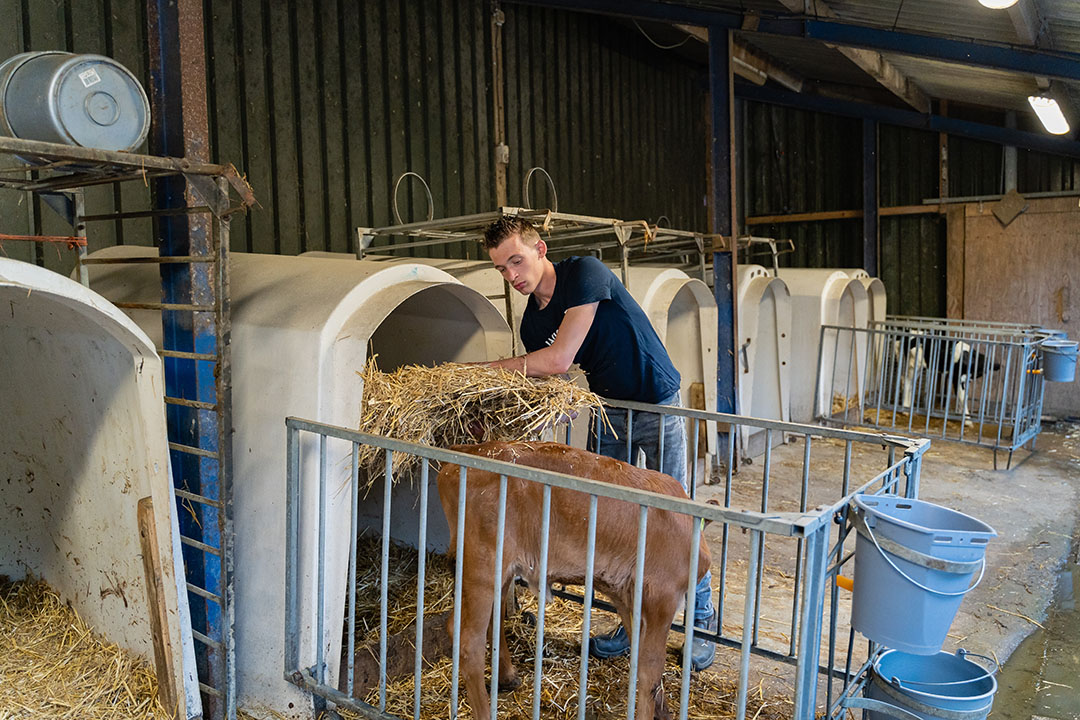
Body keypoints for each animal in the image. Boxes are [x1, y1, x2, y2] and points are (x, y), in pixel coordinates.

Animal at [434, 440, 712, 720]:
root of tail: (465, 454)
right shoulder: (661, 597)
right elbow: (650, 671)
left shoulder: (630, 598)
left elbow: (638, 654)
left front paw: (662, 711)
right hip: (482, 564)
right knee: (468, 639)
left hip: (500, 567)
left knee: (490, 620)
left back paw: (508, 677)